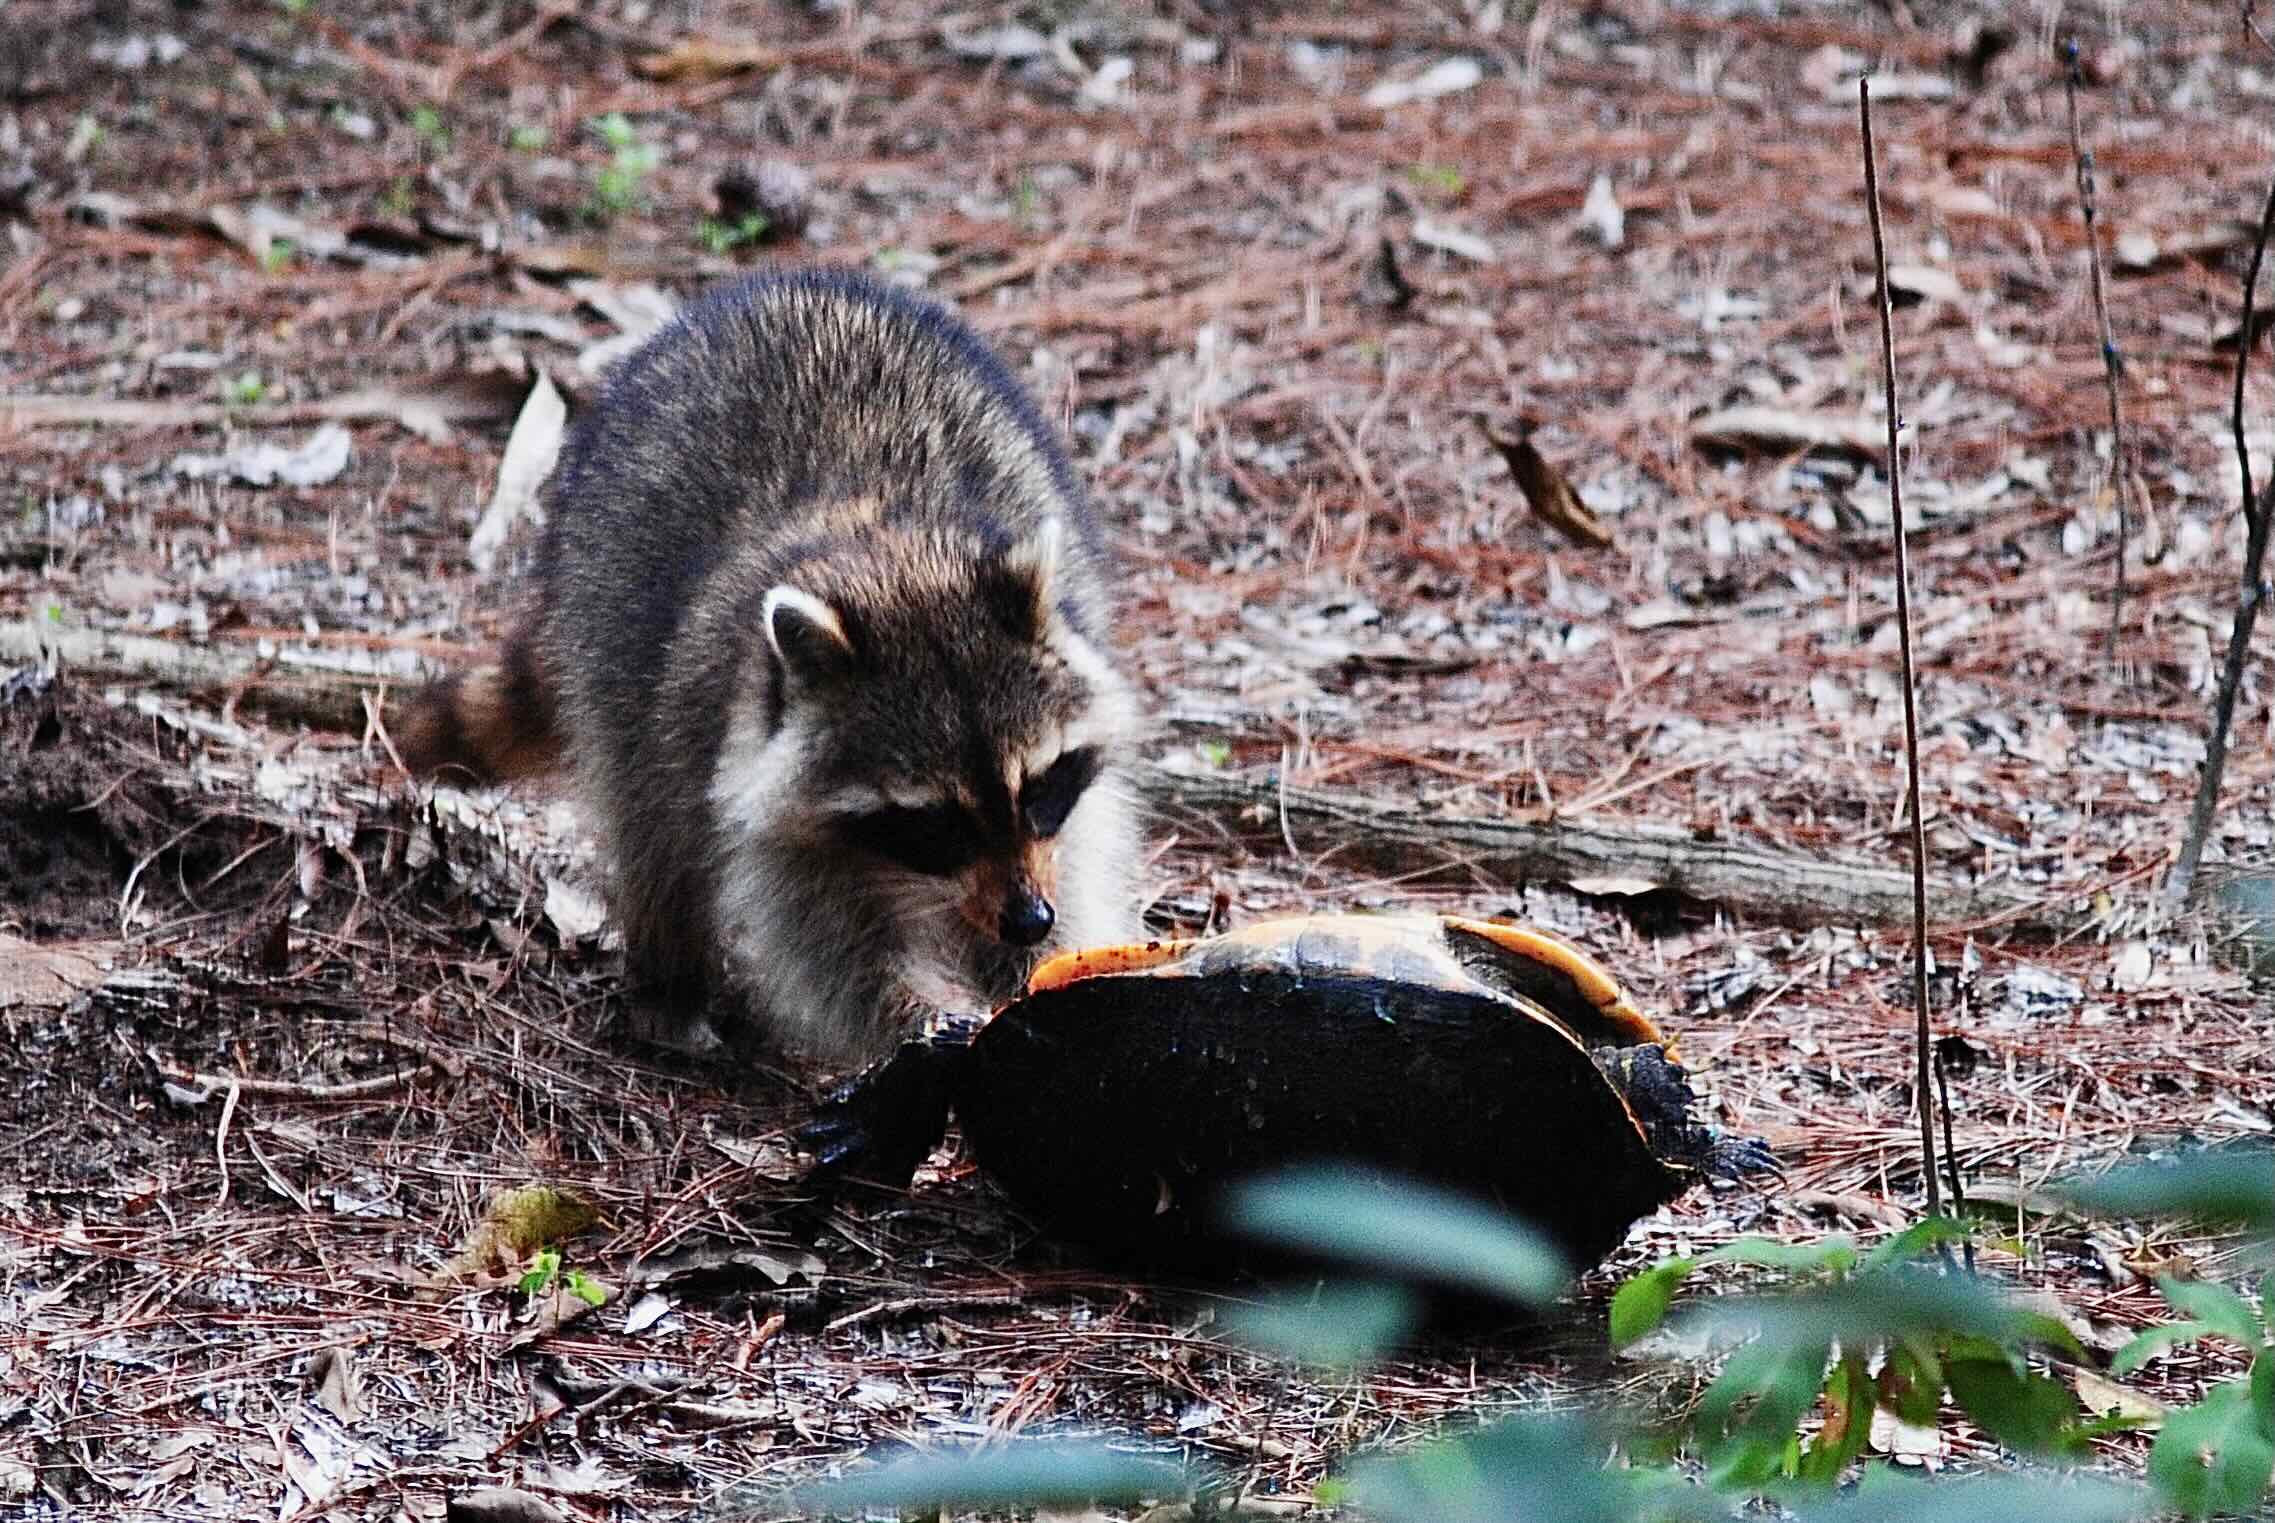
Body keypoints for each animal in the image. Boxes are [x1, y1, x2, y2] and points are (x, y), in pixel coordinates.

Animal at [397, 269, 1144, 1065]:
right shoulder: (754, 786)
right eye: (936, 822)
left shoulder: (1066, 810)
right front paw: (923, 1012)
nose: (1029, 918)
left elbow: (1074, 867)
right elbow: (834, 955)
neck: (886, 546)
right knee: (652, 821)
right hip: (607, 627)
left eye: (1038, 789)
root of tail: (776, 285)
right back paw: (669, 982)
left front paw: (1052, 972)